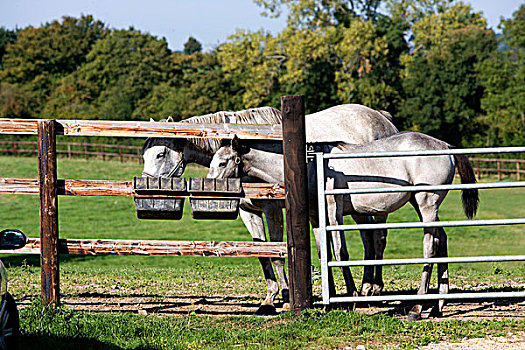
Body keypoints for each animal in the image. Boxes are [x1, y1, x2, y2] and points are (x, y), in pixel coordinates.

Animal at [140, 104, 398, 314]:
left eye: (161, 153)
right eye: (144, 154)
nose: (146, 187)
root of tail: (383, 119)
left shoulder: (273, 210)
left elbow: (277, 254)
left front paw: (285, 297)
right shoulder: (249, 212)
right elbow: (262, 253)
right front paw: (269, 299)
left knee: (378, 238)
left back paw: (373, 288)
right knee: (367, 237)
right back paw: (365, 287)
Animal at [206, 132, 478, 320]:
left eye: (222, 163)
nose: (208, 186)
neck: (313, 167)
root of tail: (445, 146)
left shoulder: (333, 212)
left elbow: (339, 252)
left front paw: (352, 297)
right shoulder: (316, 218)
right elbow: (322, 253)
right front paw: (333, 298)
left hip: (426, 204)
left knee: (429, 247)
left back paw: (418, 307)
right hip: (424, 207)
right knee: (442, 240)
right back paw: (438, 305)